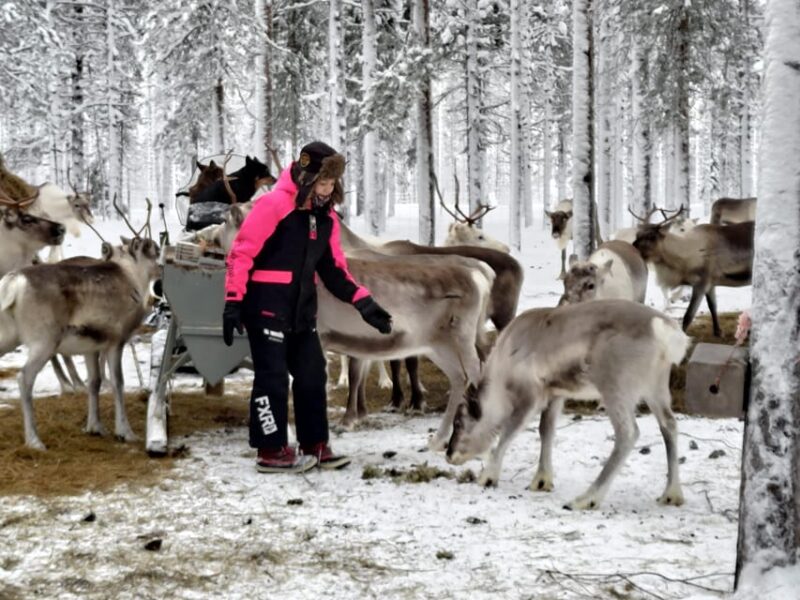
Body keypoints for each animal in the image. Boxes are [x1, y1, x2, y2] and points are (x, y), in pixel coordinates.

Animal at [0, 206, 160, 450]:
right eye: (152, 249)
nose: (162, 269)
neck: (132, 276)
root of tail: (14, 281)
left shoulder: (90, 347)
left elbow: (94, 383)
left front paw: (94, 427)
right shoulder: (116, 341)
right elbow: (118, 383)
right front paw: (125, 432)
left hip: (8, 336)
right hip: (44, 342)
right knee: (24, 378)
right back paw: (35, 441)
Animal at [446, 300, 689, 510]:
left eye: (458, 422)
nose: (449, 454)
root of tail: (664, 332)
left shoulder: (531, 394)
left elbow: (509, 432)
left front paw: (487, 477)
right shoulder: (555, 393)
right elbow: (546, 430)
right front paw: (541, 481)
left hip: (615, 388)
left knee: (628, 433)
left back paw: (586, 498)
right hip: (655, 387)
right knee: (669, 424)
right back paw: (671, 494)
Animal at [631, 205, 754, 337]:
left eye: (652, 237)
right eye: (637, 234)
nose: (633, 247)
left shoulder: (701, 283)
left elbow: (688, 316)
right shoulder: (711, 284)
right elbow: (712, 306)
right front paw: (718, 332)